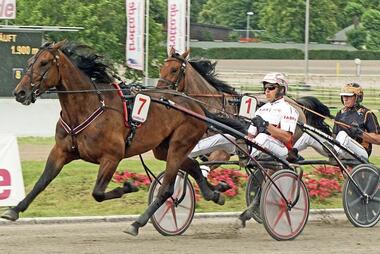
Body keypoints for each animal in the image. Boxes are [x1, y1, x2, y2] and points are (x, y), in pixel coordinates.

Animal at [0, 41, 226, 236]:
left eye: (44, 63)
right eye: (30, 62)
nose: (20, 92)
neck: (88, 106)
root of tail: (196, 106)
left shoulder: (112, 156)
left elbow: (98, 193)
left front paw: (128, 186)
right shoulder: (61, 152)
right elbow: (42, 182)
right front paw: (14, 210)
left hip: (180, 143)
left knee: (166, 189)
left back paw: (137, 223)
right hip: (164, 148)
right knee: (191, 167)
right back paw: (214, 193)